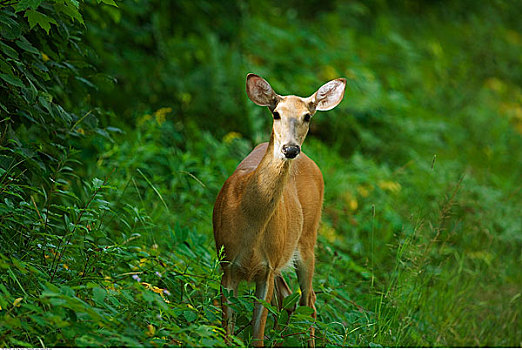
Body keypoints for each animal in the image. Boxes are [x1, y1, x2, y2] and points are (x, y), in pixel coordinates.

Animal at [211, 72, 346, 346]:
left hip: (307, 240)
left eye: (307, 116)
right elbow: (228, 331)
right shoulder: (227, 262)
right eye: (276, 113)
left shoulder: (267, 269)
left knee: (309, 301)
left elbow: (257, 334)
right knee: (288, 298)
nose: (290, 149)